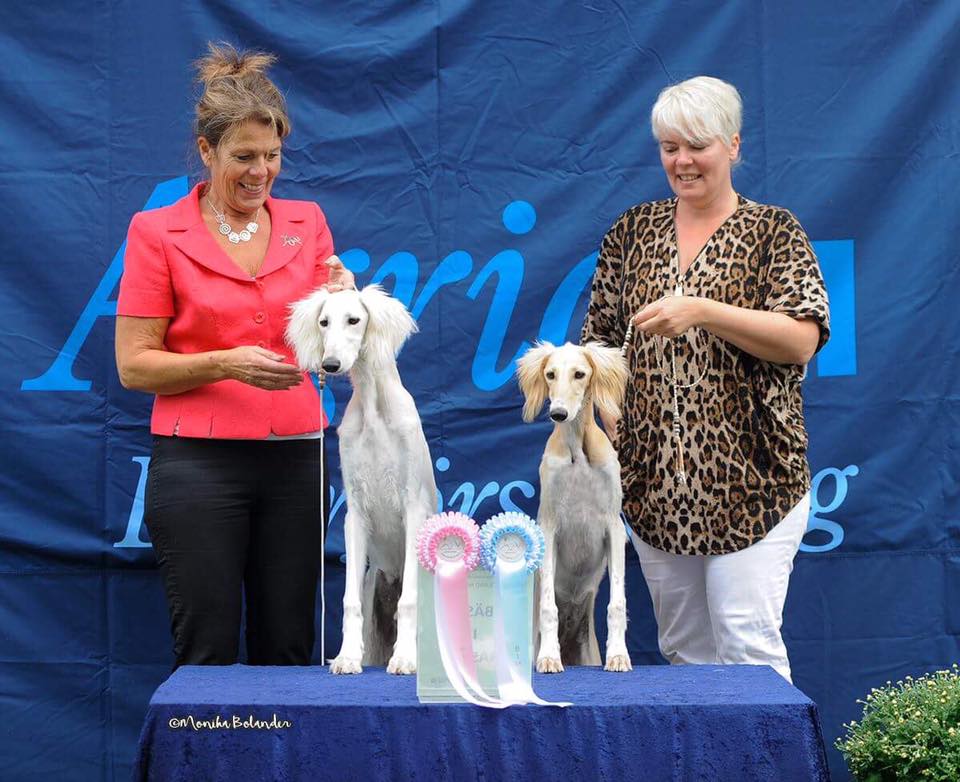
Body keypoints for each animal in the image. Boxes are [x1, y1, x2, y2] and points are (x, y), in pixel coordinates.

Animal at [284, 284, 436, 676]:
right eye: (324, 322)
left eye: (354, 319)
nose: (330, 365)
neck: (373, 409)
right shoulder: (356, 513)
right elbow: (347, 600)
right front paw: (347, 657)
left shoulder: (413, 508)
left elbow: (409, 601)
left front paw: (404, 659)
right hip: (373, 584)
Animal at [516, 342, 632, 672]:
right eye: (550, 374)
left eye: (580, 374)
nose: (558, 413)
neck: (578, 451)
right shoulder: (550, 526)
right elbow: (548, 606)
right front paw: (549, 658)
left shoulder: (613, 527)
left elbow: (617, 602)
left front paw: (618, 655)